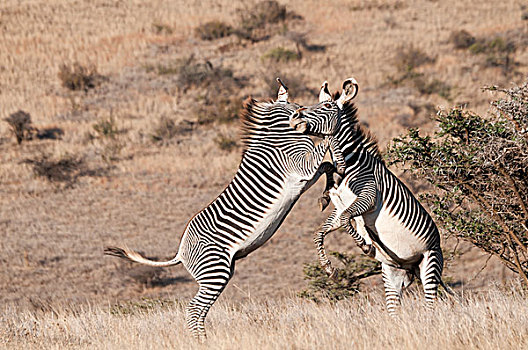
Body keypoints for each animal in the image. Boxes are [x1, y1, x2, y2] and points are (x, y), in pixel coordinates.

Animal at [104, 79, 356, 340]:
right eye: (300, 106)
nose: (299, 120)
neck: (280, 136)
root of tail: (181, 252)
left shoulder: (306, 176)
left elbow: (327, 166)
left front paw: (327, 192)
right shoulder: (300, 167)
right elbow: (324, 148)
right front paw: (334, 154)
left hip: (219, 272)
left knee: (198, 311)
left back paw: (203, 340)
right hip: (216, 271)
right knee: (194, 309)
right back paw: (202, 342)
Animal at [292, 79, 450, 314]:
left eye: (326, 107)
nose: (294, 117)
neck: (350, 162)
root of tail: (411, 266)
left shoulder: (368, 197)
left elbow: (347, 219)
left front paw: (365, 246)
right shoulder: (341, 207)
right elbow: (320, 233)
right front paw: (329, 269)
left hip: (429, 263)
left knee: (431, 305)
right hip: (392, 273)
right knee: (394, 311)